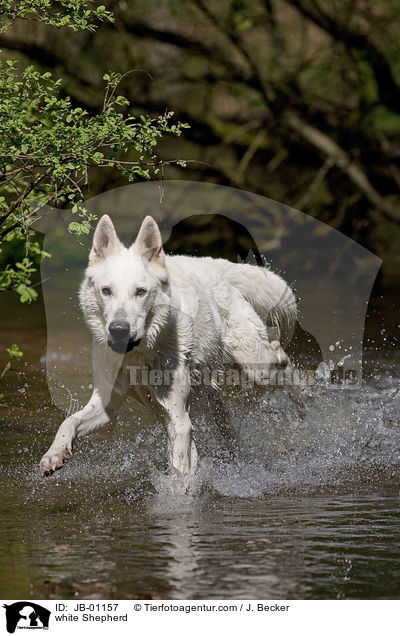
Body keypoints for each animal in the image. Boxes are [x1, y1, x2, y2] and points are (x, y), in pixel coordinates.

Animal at [40, 216, 296, 480]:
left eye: (140, 292)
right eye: (106, 291)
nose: (119, 329)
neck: (138, 353)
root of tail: (218, 266)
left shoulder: (179, 420)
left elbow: (179, 473)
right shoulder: (107, 407)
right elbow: (68, 421)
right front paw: (54, 455)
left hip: (255, 364)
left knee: (281, 356)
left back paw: (302, 402)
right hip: (201, 397)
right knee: (226, 429)